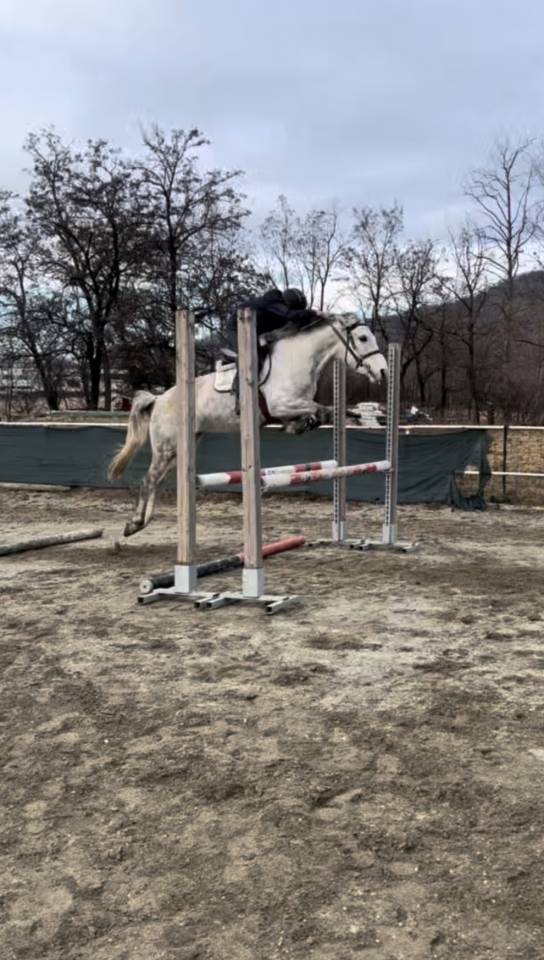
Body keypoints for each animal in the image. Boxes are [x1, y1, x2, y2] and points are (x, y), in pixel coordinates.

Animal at [108, 314, 388, 537]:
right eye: (363, 338)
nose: (384, 372)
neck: (299, 360)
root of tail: (158, 399)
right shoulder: (281, 405)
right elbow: (319, 409)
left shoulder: (290, 408)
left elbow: (318, 414)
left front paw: (307, 424)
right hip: (166, 447)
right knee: (148, 480)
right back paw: (134, 523)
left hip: (180, 448)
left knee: (156, 481)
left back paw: (142, 522)